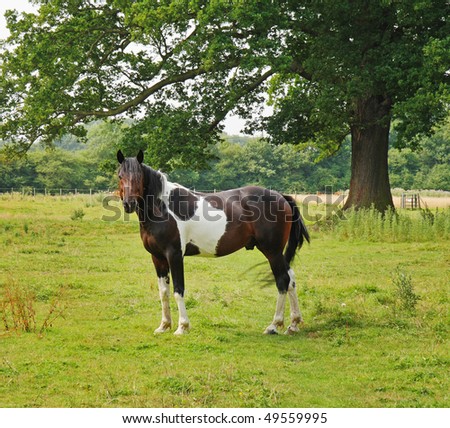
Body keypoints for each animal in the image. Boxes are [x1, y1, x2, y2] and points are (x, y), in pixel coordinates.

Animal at [116, 150, 310, 334]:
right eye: (120, 175)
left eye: (139, 176)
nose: (129, 204)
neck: (162, 207)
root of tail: (281, 197)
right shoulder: (157, 257)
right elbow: (163, 292)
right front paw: (164, 326)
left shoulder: (175, 255)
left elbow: (178, 290)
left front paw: (182, 327)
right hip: (277, 253)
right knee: (291, 280)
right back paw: (293, 324)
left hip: (272, 251)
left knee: (282, 281)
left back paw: (274, 325)